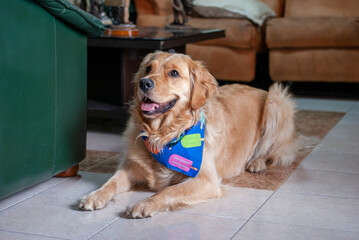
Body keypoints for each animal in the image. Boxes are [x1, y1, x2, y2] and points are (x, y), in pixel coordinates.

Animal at [80, 50, 296, 218]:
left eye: (174, 73)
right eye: (148, 69)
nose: (144, 83)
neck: (164, 135)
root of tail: (260, 89)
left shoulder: (206, 180)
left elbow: (168, 190)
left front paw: (144, 204)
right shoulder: (130, 166)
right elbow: (111, 182)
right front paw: (95, 195)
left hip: (276, 101)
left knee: (273, 152)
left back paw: (256, 162)